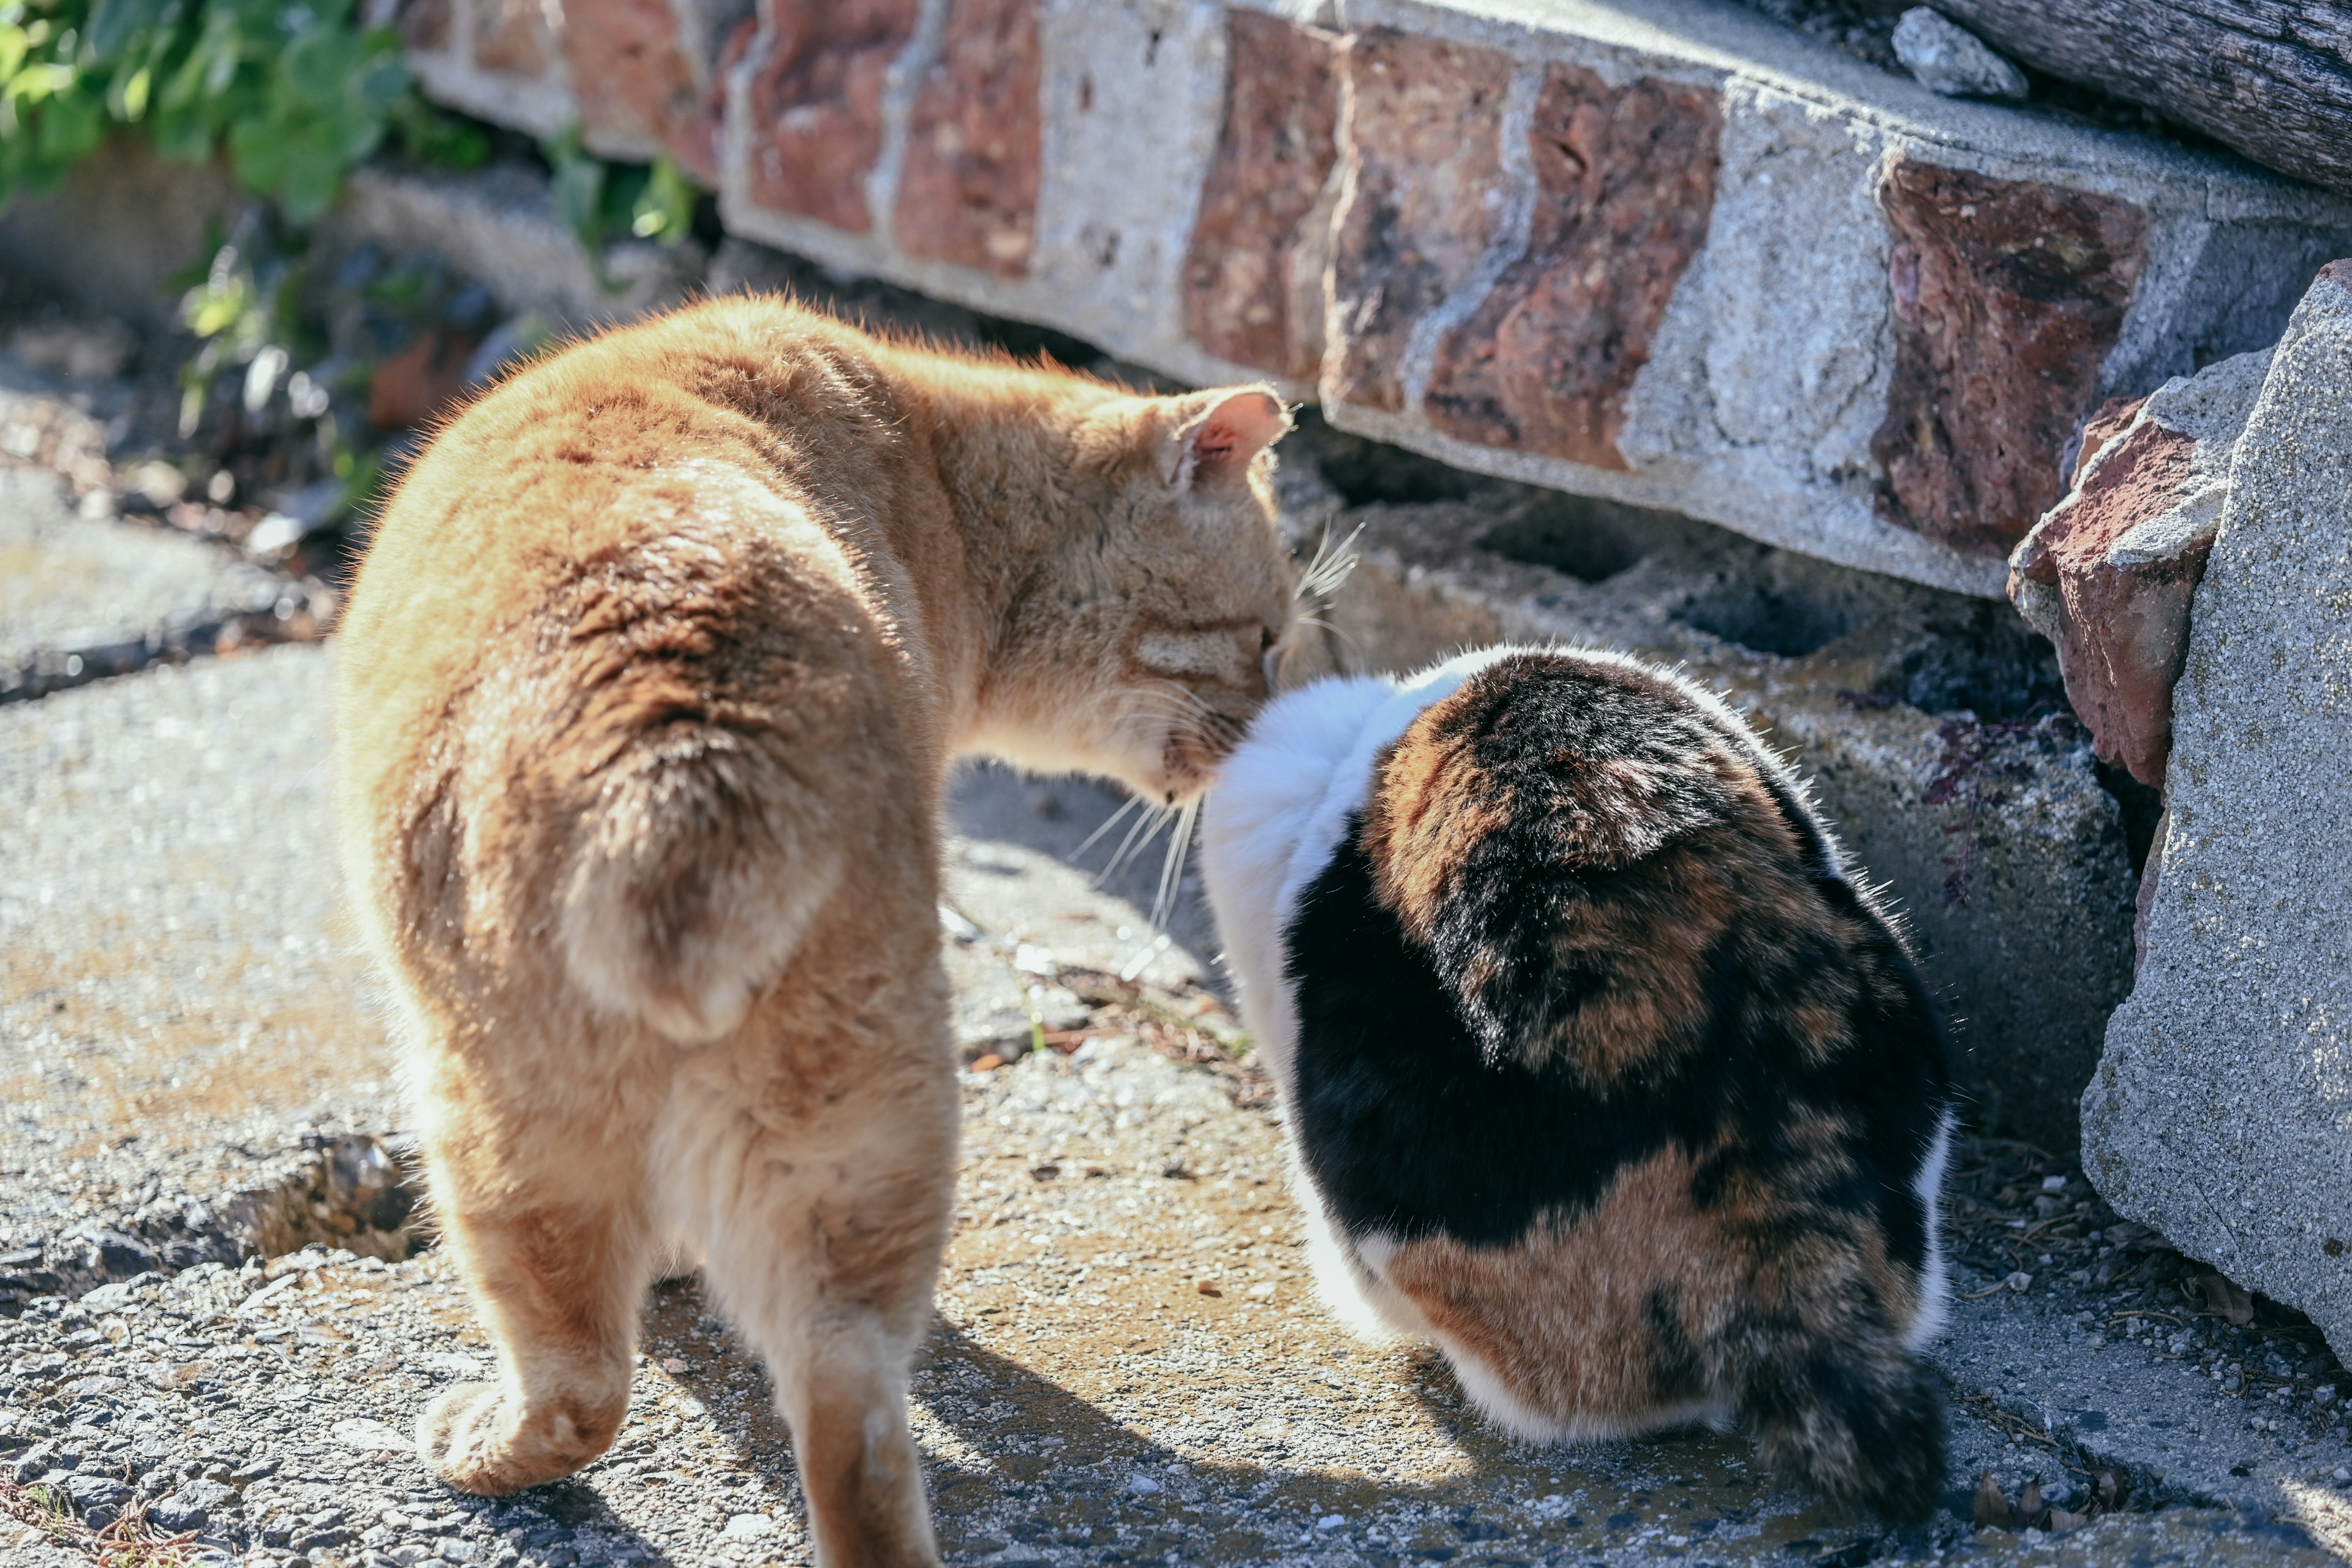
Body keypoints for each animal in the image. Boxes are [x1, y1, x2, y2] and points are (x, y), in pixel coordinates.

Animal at [334, 297, 1298, 1568]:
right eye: (1272, 640)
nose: (1275, 732)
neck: (937, 477)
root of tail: (683, 756)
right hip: (862, 1123)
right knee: (855, 1420)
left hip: (483, 1108)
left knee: (583, 1379)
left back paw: (479, 1448)